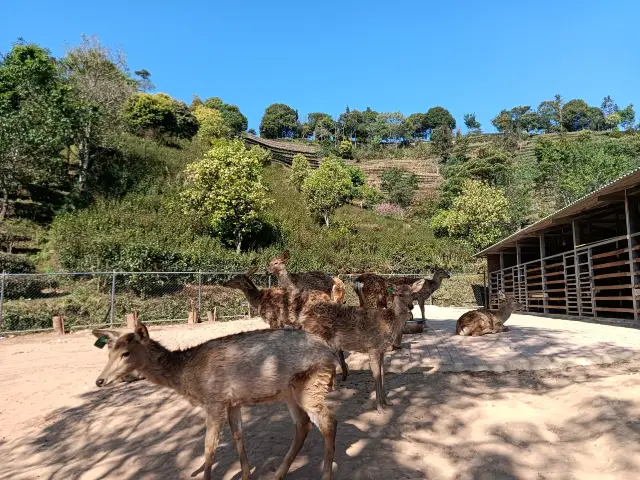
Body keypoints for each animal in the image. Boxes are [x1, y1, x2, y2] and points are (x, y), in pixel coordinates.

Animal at [94, 322, 340, 480]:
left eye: (126, 353)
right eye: (109, 353)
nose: (99, 380)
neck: (190, 380)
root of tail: (332, 354)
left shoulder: (214, 400)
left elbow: (208, 445)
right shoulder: (232, 402)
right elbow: (238, 434)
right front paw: (245, 475)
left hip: (312, 384)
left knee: (329, 421)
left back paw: (325, 476)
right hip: (291, 393)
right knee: (303, 425)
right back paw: (278, 473)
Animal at [300, 280, 424, 414]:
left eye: (412, 293)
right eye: (400, 294)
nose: (410, 306)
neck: (388, 324)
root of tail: (302, 318)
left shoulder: (382, 350)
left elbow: (382, 373)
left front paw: (387, 401)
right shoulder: (373, 347)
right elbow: (376, 375)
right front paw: (380, 408)